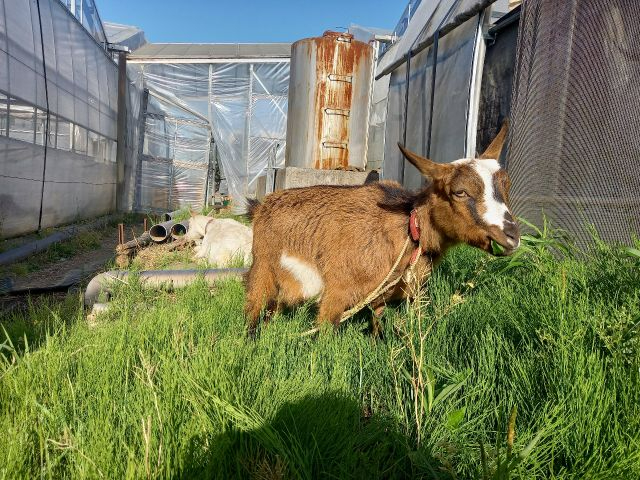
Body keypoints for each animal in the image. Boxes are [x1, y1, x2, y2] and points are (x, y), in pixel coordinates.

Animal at [244, 124, 519, 334]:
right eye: (459, 192)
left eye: (506, 184)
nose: (512, 236)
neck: (407, 231)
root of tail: (262, 204)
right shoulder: (336, 293)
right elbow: (323, 338)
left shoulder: (385, 297)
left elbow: (378, 327)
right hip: (262, 268)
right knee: (253, 309)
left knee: (272, 310)